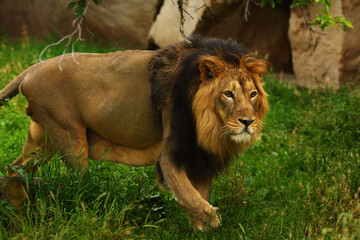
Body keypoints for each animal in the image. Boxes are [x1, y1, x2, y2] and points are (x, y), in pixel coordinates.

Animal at [0, 34, 268, 230]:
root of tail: (31, 69)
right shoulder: (171, 152)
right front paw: (212, 219)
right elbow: (189, 195)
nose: (248, 121)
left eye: (252, 94)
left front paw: (202, 228)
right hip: (69, 137)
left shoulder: (200, 156)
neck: (209, 125)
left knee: (15, 169)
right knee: (78, 185)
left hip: (41, 140)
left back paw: (14, 204)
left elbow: (199, 194)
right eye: (228, 94)